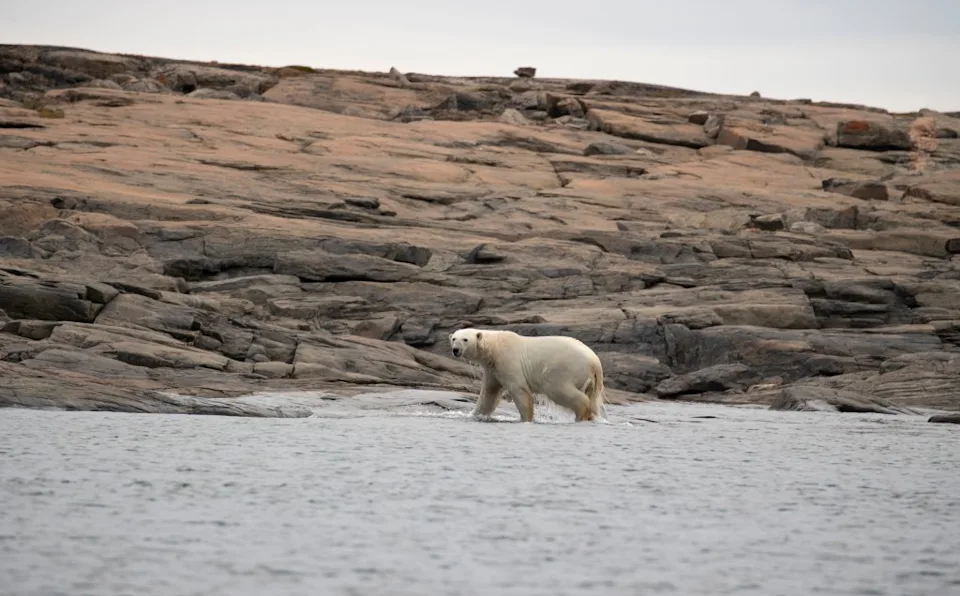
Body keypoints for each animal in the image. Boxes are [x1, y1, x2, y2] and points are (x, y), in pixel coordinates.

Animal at [448, 327, 606, 423]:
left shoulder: (508, 359)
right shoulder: (493, 369)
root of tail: (595, 363)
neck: (494, 347)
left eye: (465, 339)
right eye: (453, 338)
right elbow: (489, 394)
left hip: (564, 368)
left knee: (557, 389)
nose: (455, 350)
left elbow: (519, 389)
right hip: (591, 381)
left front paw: (526, 419)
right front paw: (475, 415)